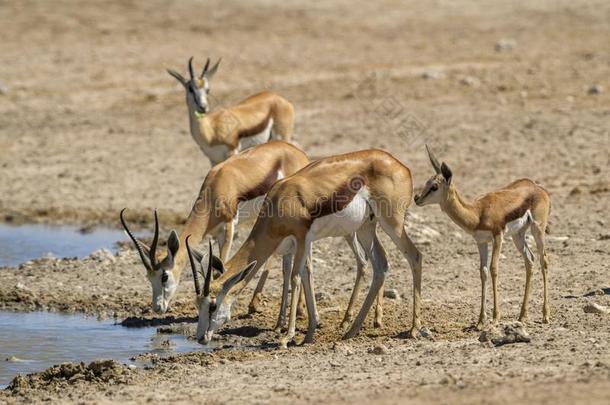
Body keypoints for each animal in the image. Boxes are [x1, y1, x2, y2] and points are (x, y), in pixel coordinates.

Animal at [190, 150, 422, 346]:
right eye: (197, 304)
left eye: (212, 305)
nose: (201, 338)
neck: (279, 200)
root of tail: (400, 165)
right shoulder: (302, 243)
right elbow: (307, 274)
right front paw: (309, 333)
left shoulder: (301, 239)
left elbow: (295, 277)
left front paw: (287, 337)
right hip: (366, 227)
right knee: (381, 265)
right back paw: (351, 331)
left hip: (391, 224)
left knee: (415, 256)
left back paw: (413, 329)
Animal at [414, 146, 552, 328]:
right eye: (426, 183)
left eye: (435, 186)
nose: (417, 199)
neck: (477, 213)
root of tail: (538, 187)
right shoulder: (481, 242)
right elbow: (483, 272)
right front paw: (480, 320)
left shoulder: (498, 236)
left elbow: (494, 269)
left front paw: (495, 317)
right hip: (518, 235)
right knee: (530, 261)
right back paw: (522, 315)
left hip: (538, 229)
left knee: (544, 261)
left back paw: (545, 315)